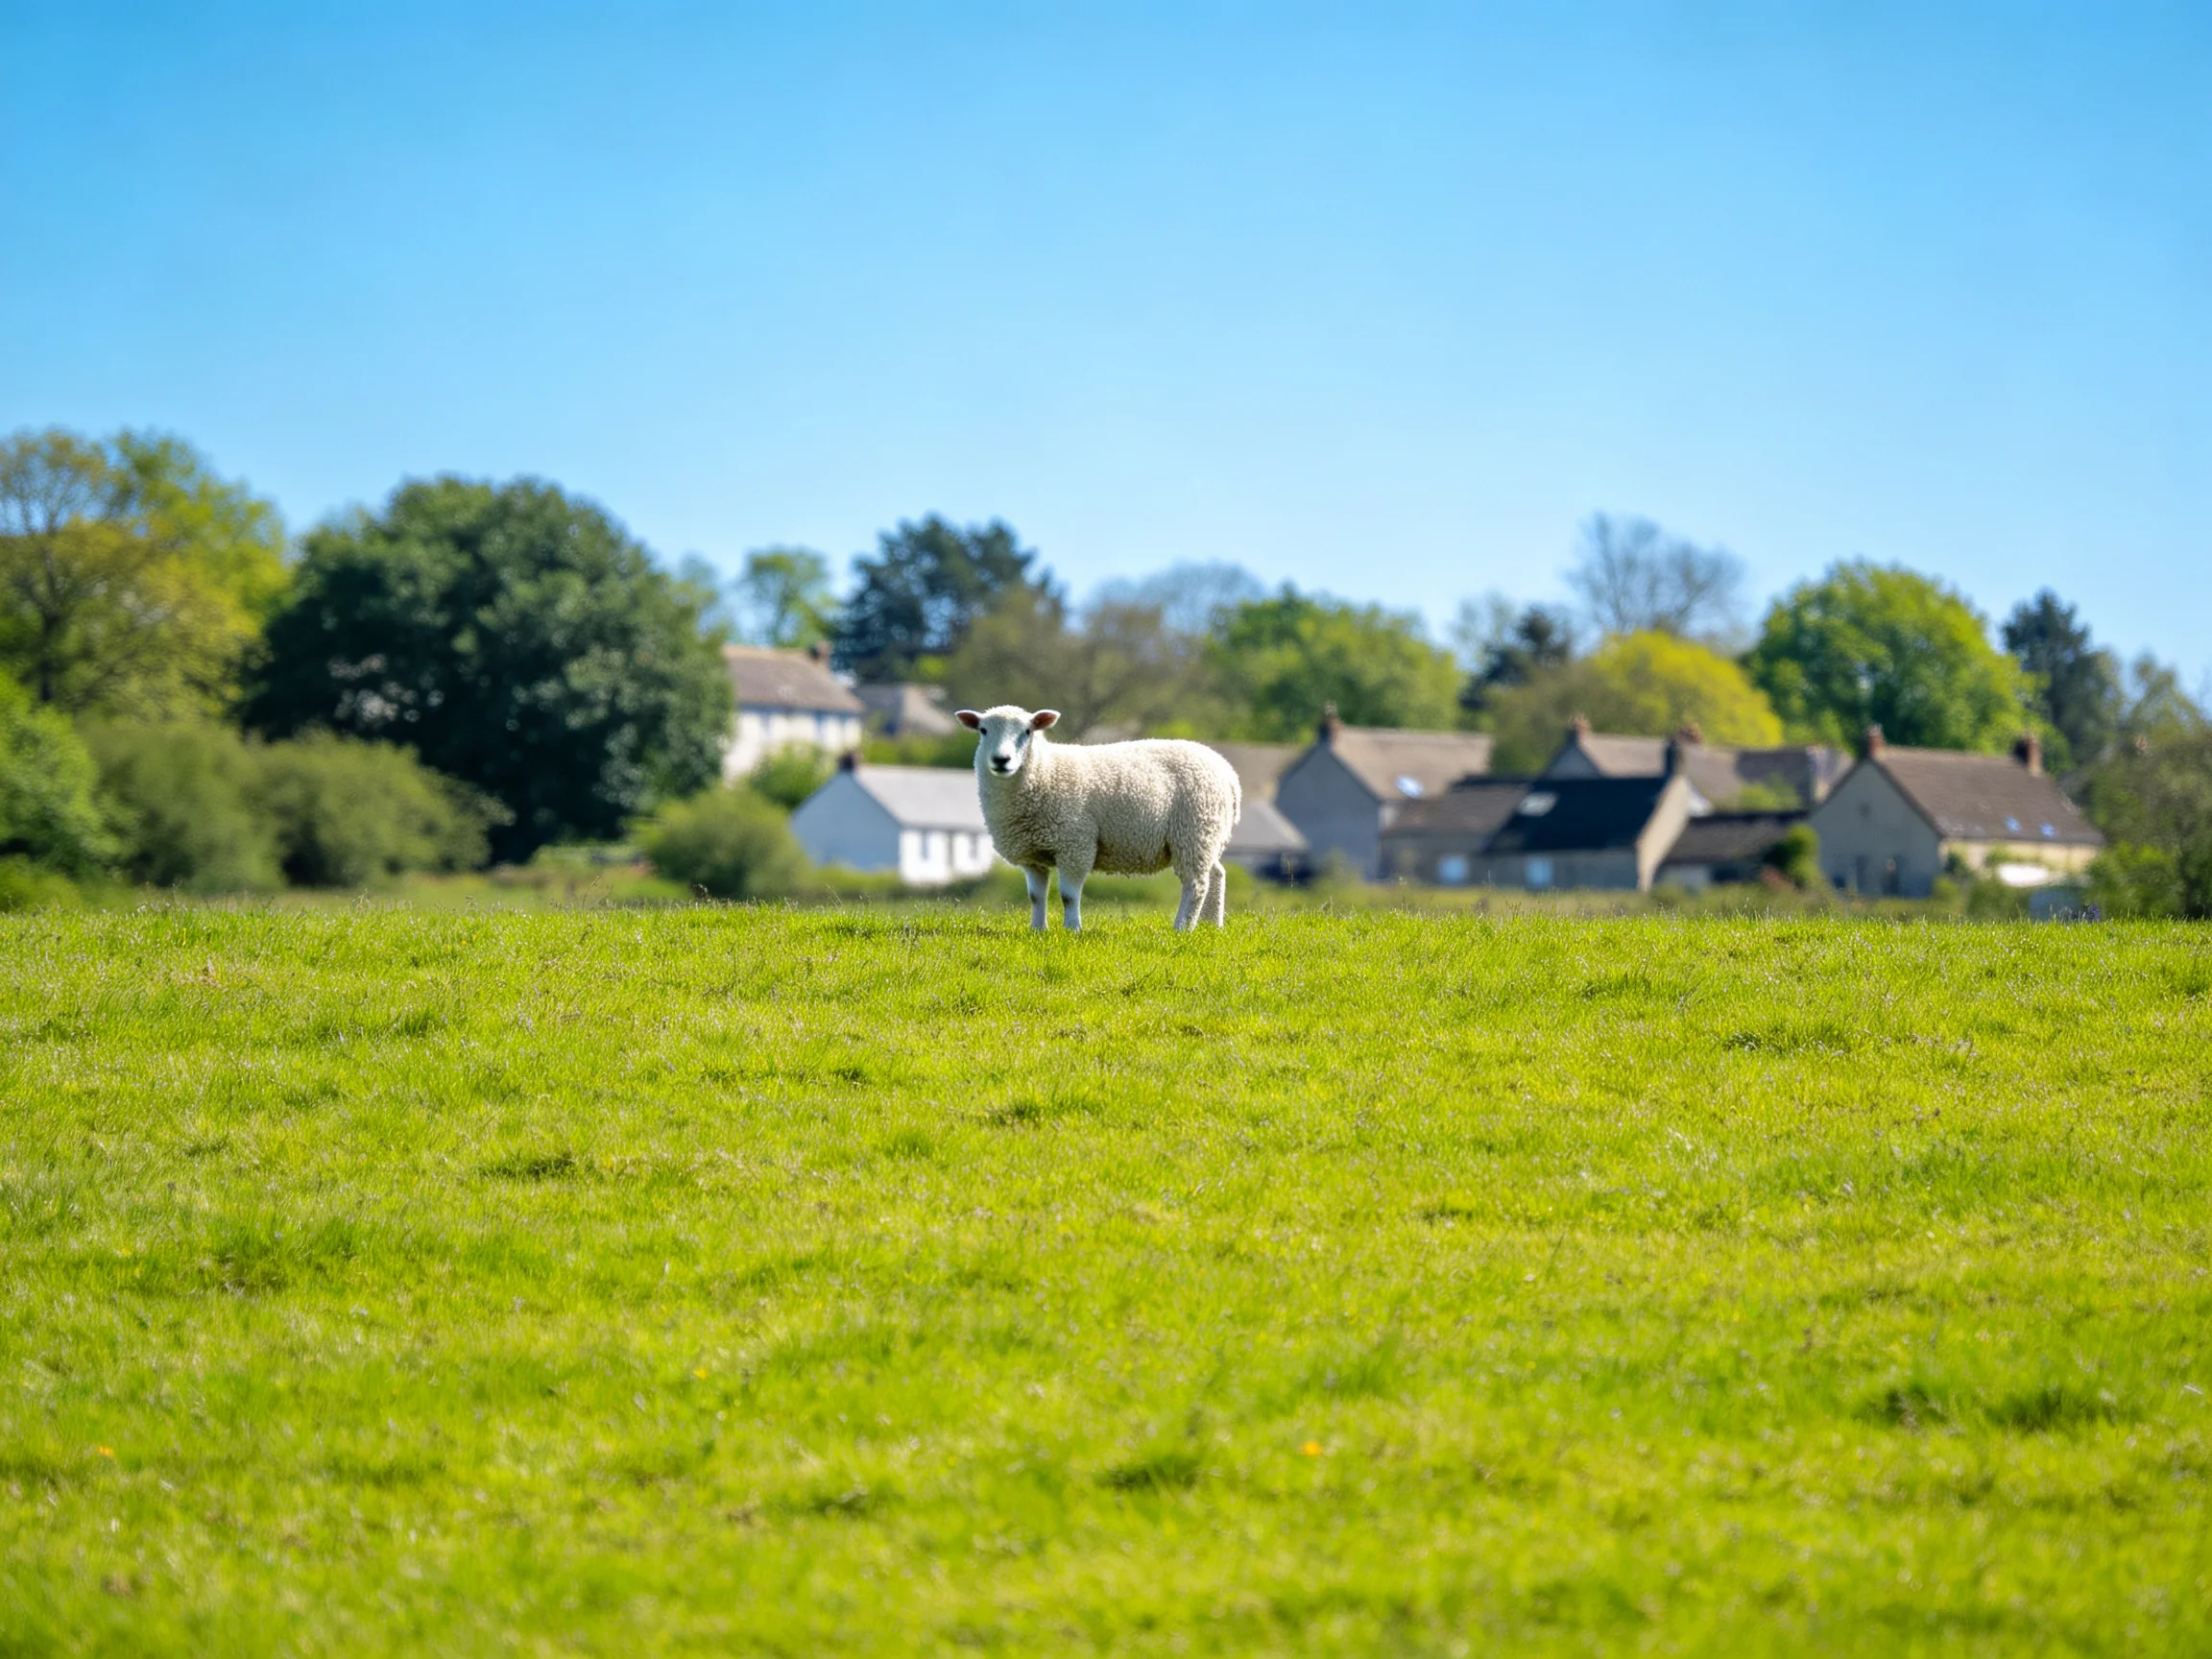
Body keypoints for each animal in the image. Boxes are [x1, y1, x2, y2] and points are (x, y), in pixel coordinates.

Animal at [954, 705, 1241, 932]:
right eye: (983, 730)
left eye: (1028, 731)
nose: (1001, 760)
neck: (1045, 770)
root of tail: (1228, 772)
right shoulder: (1032, 855)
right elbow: (1035, 897)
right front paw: (1037, 929)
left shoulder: (1075, 845)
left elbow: (1068, 896)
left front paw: (1072, 929)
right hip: (1206, 835)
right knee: (1216, 874)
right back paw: (1211, 926)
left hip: (1193, 831)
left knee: (1196, 884)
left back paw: (1182, 928)